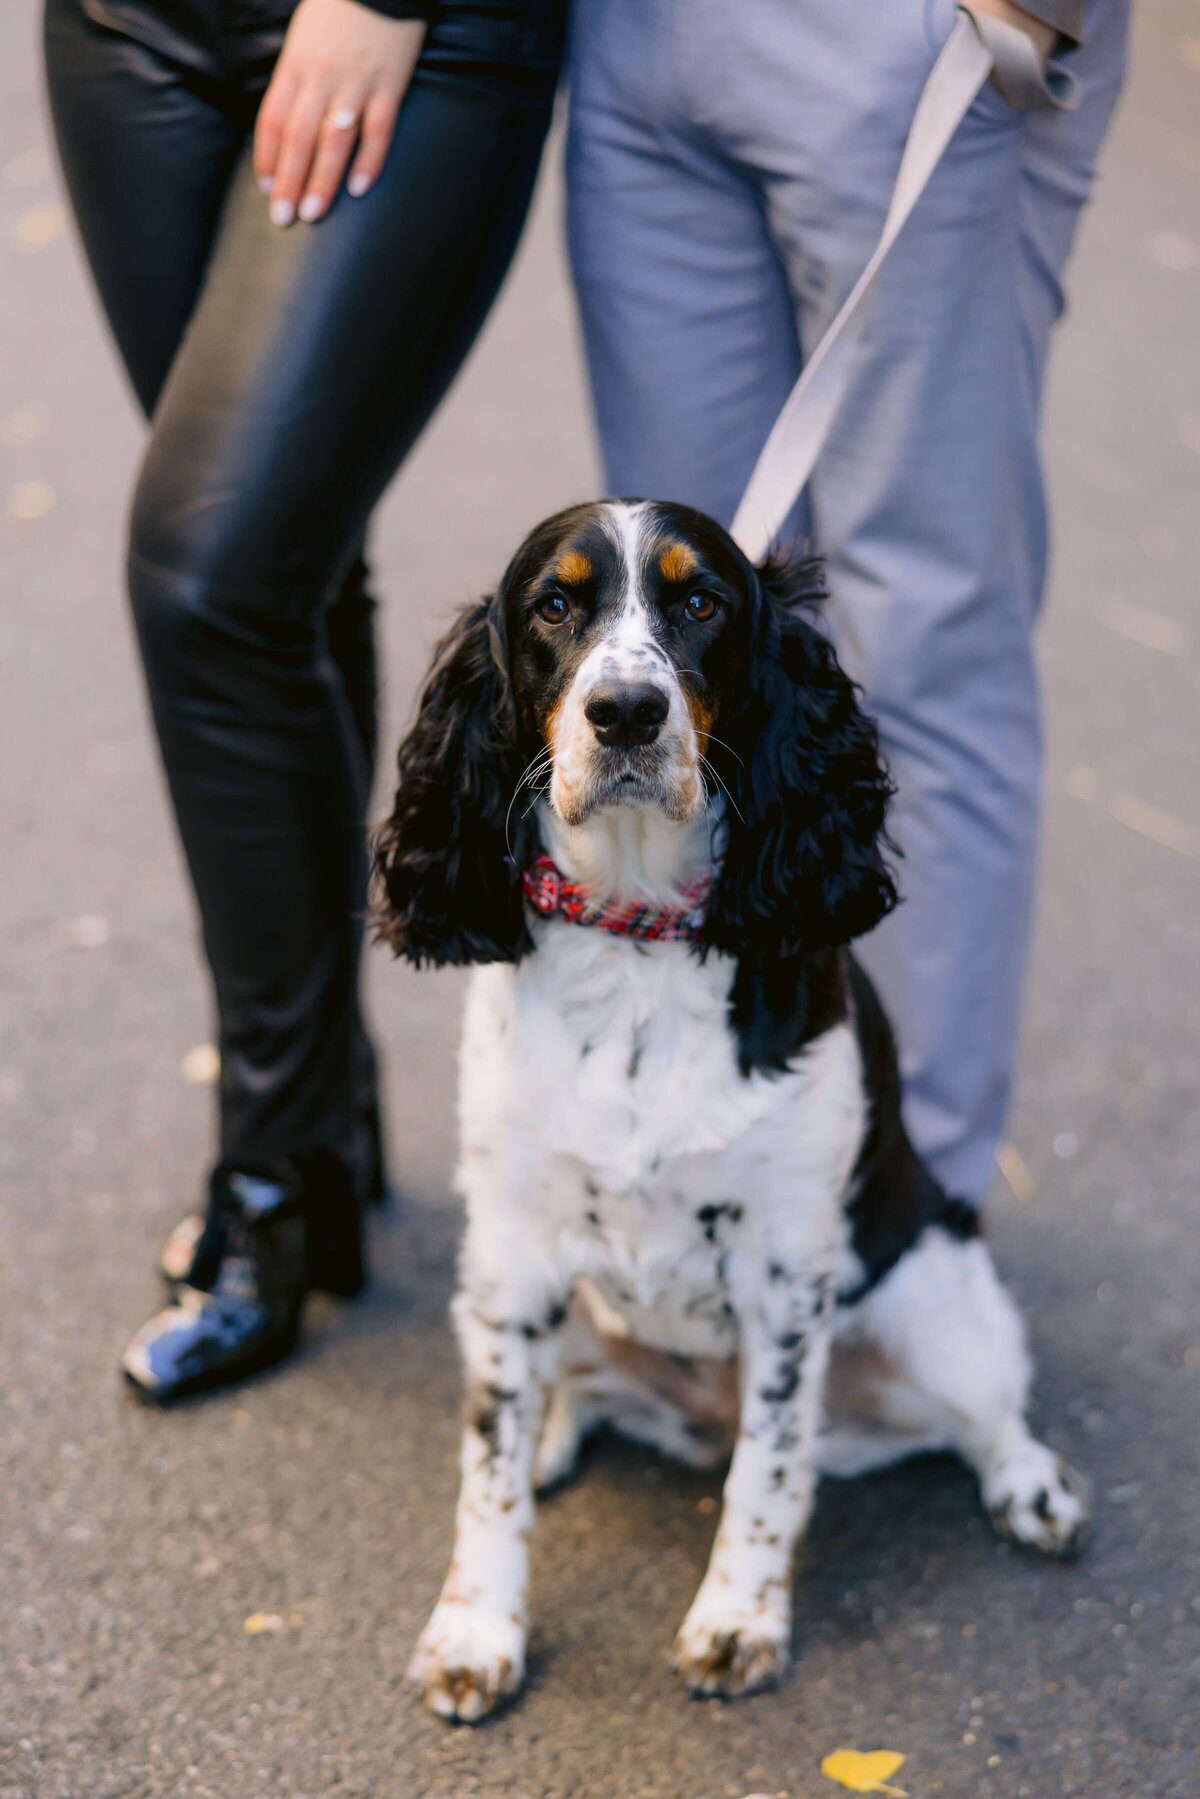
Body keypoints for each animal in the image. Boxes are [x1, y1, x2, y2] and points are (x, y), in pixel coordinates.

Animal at [376, 500, 1086, 1719]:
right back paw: (559, 1433)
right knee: (566, 1399)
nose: (626, 711)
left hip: (939, 1302)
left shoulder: (788, 1266)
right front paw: (475, 1630)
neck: (636, 940)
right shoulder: (511, 1249)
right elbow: (487, 1471)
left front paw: (738, 1619)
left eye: (701, 600)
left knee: (983, 1414)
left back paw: (1033, 1488)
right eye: (553, 605)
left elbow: (769, 1464)